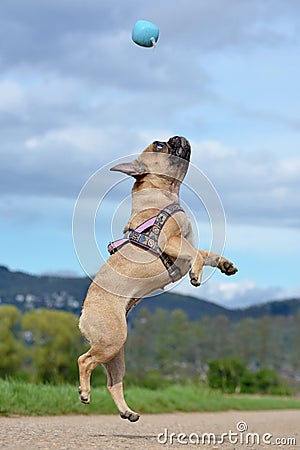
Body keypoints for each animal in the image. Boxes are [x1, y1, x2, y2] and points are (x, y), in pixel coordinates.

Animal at [77, 136, 237, 422]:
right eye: (159, 145)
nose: (176, 137)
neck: (168, 191)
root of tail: (84, 313)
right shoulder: (170, 241)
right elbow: (196, 253)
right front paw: (196, 273)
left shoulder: (183, 243)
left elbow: (206, 252)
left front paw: (224, 264)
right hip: (110, 341)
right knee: (84, 361)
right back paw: (84, 393)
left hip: (115, 350)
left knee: (113, 381)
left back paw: (127, 412)